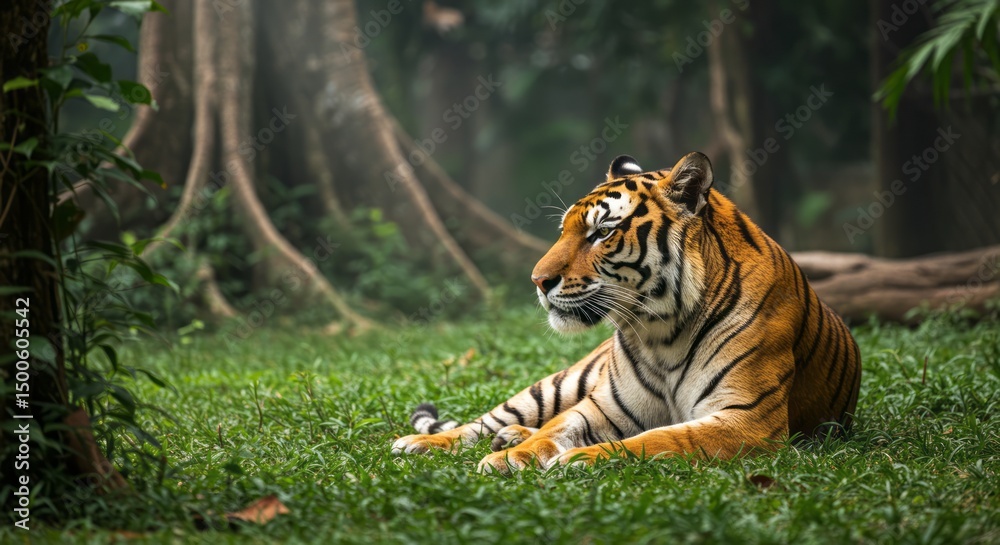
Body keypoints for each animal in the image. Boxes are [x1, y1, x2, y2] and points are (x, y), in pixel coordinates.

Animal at [391, 152, 862, 474]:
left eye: (601, 233)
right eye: (563, 230)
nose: (537, 280)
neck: (662, 332)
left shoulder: (747, 420)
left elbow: (660, 438)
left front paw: (578, 459)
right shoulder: (602, 406)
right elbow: (555, 428)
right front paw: (513, 457)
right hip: (559, 384)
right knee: (487, 422)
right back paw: (422, 442)